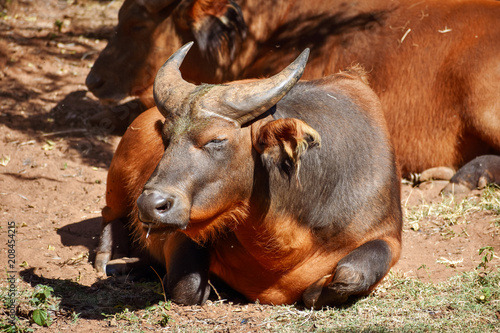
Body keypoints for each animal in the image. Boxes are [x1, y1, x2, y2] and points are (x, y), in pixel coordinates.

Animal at [99, 42, 404, 308]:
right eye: (166, 137)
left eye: (216, 139)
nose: (150, 204)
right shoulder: (184, 229)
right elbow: (186, 287)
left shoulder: (389, 237)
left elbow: (348, 275)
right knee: (108, 216)